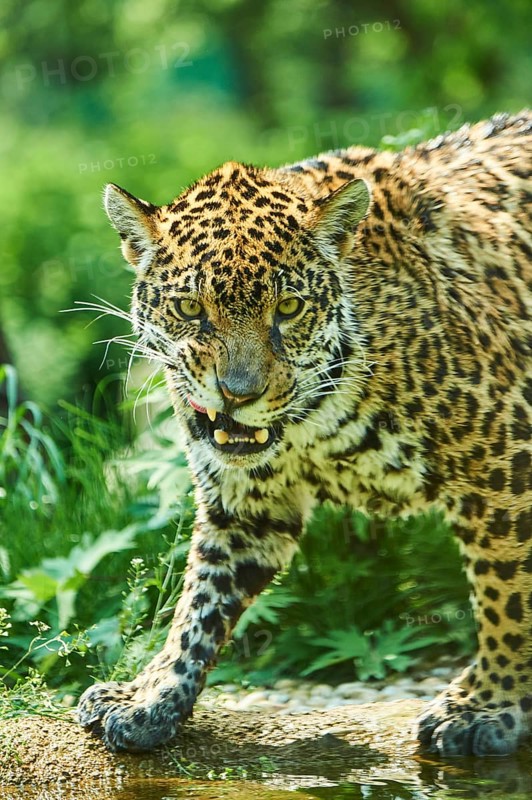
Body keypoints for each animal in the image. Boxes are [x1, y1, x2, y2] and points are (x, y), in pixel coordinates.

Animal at [78, 111, 532, 757]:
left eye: (288, 309)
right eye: (190, 309)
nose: (237, 393)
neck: (314, 421)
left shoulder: (502, 454)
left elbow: (507, 592)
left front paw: (488, 705)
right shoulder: (246, 504)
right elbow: (199, 604)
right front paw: (149, 696)